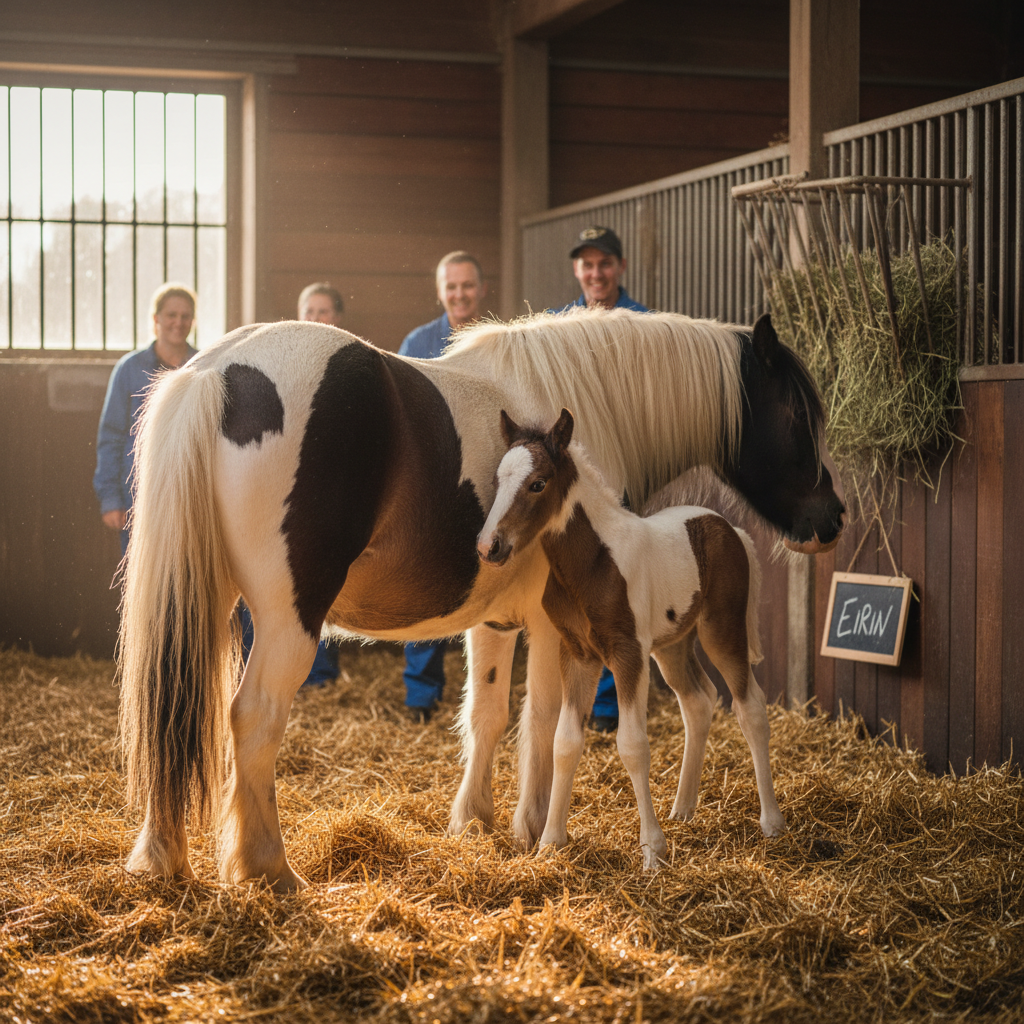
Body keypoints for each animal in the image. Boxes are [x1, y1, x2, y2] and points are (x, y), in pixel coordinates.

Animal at [477, 408, 784, 869]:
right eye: (498, 480)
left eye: (538, 483)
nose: (489, 546)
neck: (594, 564)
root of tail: (730, 528)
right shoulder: (579, 654)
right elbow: (565, 743)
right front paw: (551, 841)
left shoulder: (627, 654)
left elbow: (633, 744)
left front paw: (653, 850)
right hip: (672, 645)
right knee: (699, 702)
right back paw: (683, 808)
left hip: (721, 631)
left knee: (751, 710)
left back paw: (771, 822)